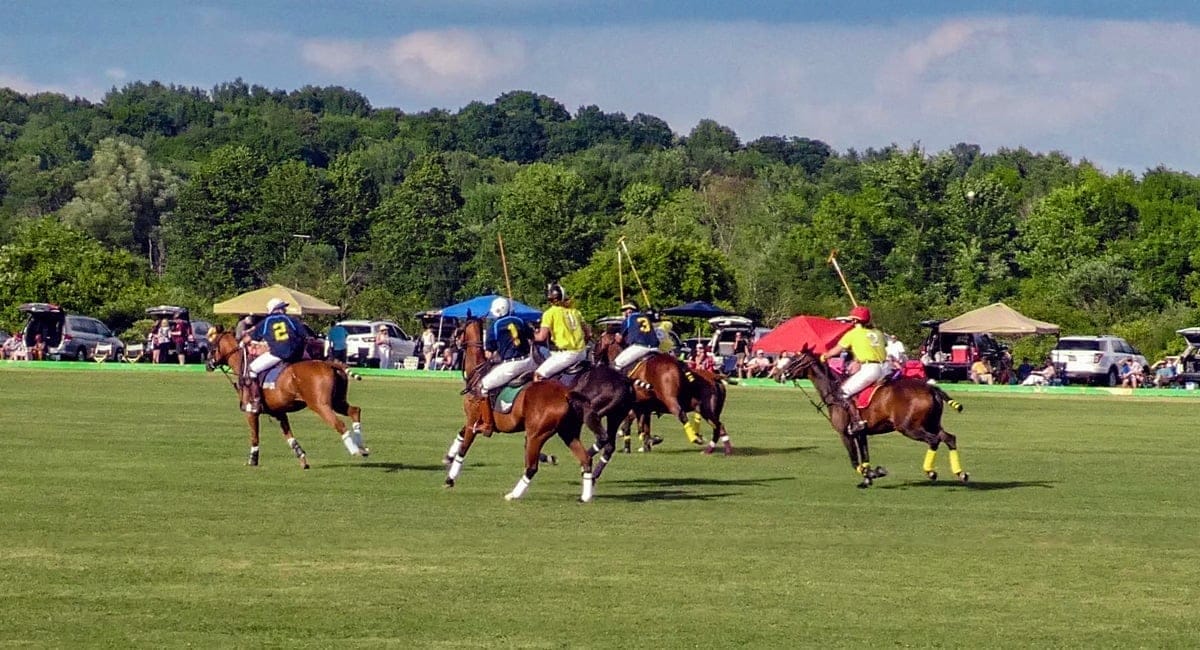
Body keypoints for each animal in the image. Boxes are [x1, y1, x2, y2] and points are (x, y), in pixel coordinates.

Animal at [206, 330, 364, 470]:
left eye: (212, 347)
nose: (208, 365)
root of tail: (330, 364)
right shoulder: (279, 413)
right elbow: (289, 436)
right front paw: (303, 460)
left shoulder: (251, 411)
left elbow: (255, 436)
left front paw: (252, 460)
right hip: (337, 402)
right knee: (355, 411)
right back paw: (363, 448)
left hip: (320, 405)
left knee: (339, 424)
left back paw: (355, 450)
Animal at [444, 316, 604, 503]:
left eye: (459, 328)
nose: (450, 343)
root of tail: (566, 393)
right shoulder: (472, 421)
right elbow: (460, 435)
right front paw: (447, 457)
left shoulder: (473, 420)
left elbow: (463, 448)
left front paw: (450, 479)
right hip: (568, 432)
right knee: (586, 459)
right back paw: (585, 497)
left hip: (537, 434)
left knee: (532, 467)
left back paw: (513, 494)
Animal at [592, 333, 729, 455]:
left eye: (598, 341)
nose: (593, 357)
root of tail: (715, 377)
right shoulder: (643, 407)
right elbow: (643, 427)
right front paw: (648, 443)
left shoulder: (635, 407)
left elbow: (631, 425)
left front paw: (630, 446)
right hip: (707, 409)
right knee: (719, 426)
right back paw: (716, 450)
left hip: (677, 401)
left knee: (682, 414)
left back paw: (697, 439)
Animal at [777, 350, 964, 486]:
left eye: (794, 359)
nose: (779, 374)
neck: (834, 392)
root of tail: (931, 388)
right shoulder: (861, 433)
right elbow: (865, 457)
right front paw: (868, 478)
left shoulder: (845, 433)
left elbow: (854, 461)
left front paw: (875, 473)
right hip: (932, 423)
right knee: (949, 438)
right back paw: (961, 474)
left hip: (909, 427)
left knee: (934, 440)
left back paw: (931, 471)